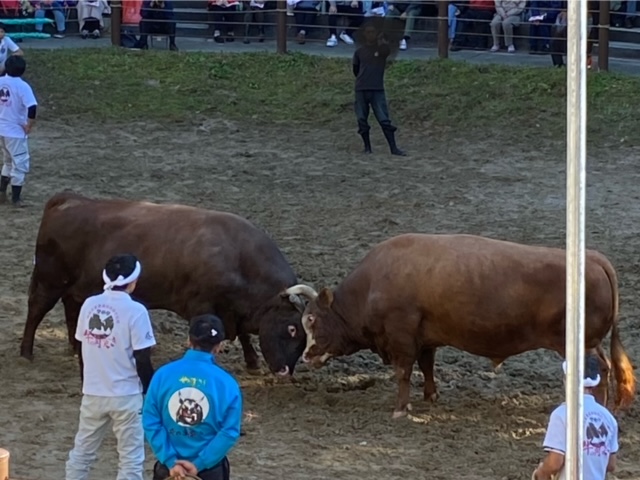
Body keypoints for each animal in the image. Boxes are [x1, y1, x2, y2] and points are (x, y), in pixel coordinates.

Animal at [18, 190, 308, 376]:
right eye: (292, 328)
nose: (285, 371)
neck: (237, 257)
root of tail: (69, 200)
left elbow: (245, 334)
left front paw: (252, 362)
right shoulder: (202, 305)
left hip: (73, 287)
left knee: (71, 309)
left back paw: (74, 348)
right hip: (50, 280)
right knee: (36, 308)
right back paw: (26, 352)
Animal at [284, 234, 636, 418]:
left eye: (312, 320)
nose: (307, 356)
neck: (373, 284)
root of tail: (593, 259)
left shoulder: (401, 337)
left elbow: (403, 372)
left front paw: (401, 408)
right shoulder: (424, 338)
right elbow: (426, 366)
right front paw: (430, 395)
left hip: (580, 343)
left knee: (601, 370)